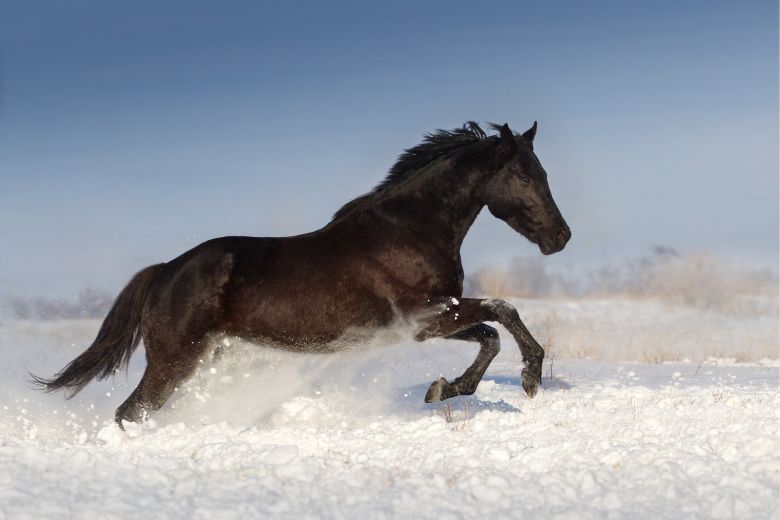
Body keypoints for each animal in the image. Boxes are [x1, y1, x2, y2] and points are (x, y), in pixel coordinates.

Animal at [35, 121, 572, 426]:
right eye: (522, 175)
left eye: (544, 173)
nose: (561, 237)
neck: (410, 229)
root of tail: (166, 271)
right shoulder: (423, 317)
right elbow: (503, 310)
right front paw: (530, 378)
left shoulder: (427, 322)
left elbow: (489, 333)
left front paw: (446, 388)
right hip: (173, 361)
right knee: (131, 411)